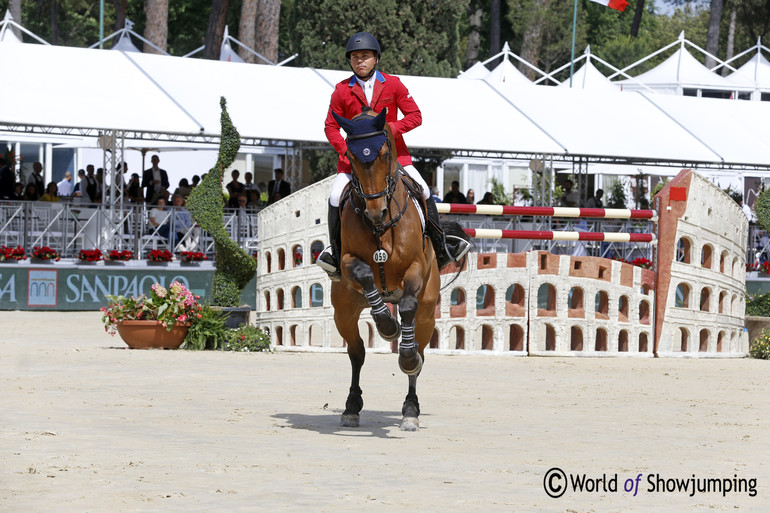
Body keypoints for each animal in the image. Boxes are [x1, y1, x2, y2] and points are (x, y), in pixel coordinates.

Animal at [328, 108, 438, 432]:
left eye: (385, 154)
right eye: (350, 157)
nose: (376, 212)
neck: (380, 228)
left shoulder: (417, 267)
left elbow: (409, 307)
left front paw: (405, 355)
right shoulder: (347, 260)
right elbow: (365, 274)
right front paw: (386, 324)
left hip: (428, 315)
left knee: (419, 351)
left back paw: (411, 409)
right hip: (344, 312)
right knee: (357, 353)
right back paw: (351, 406)